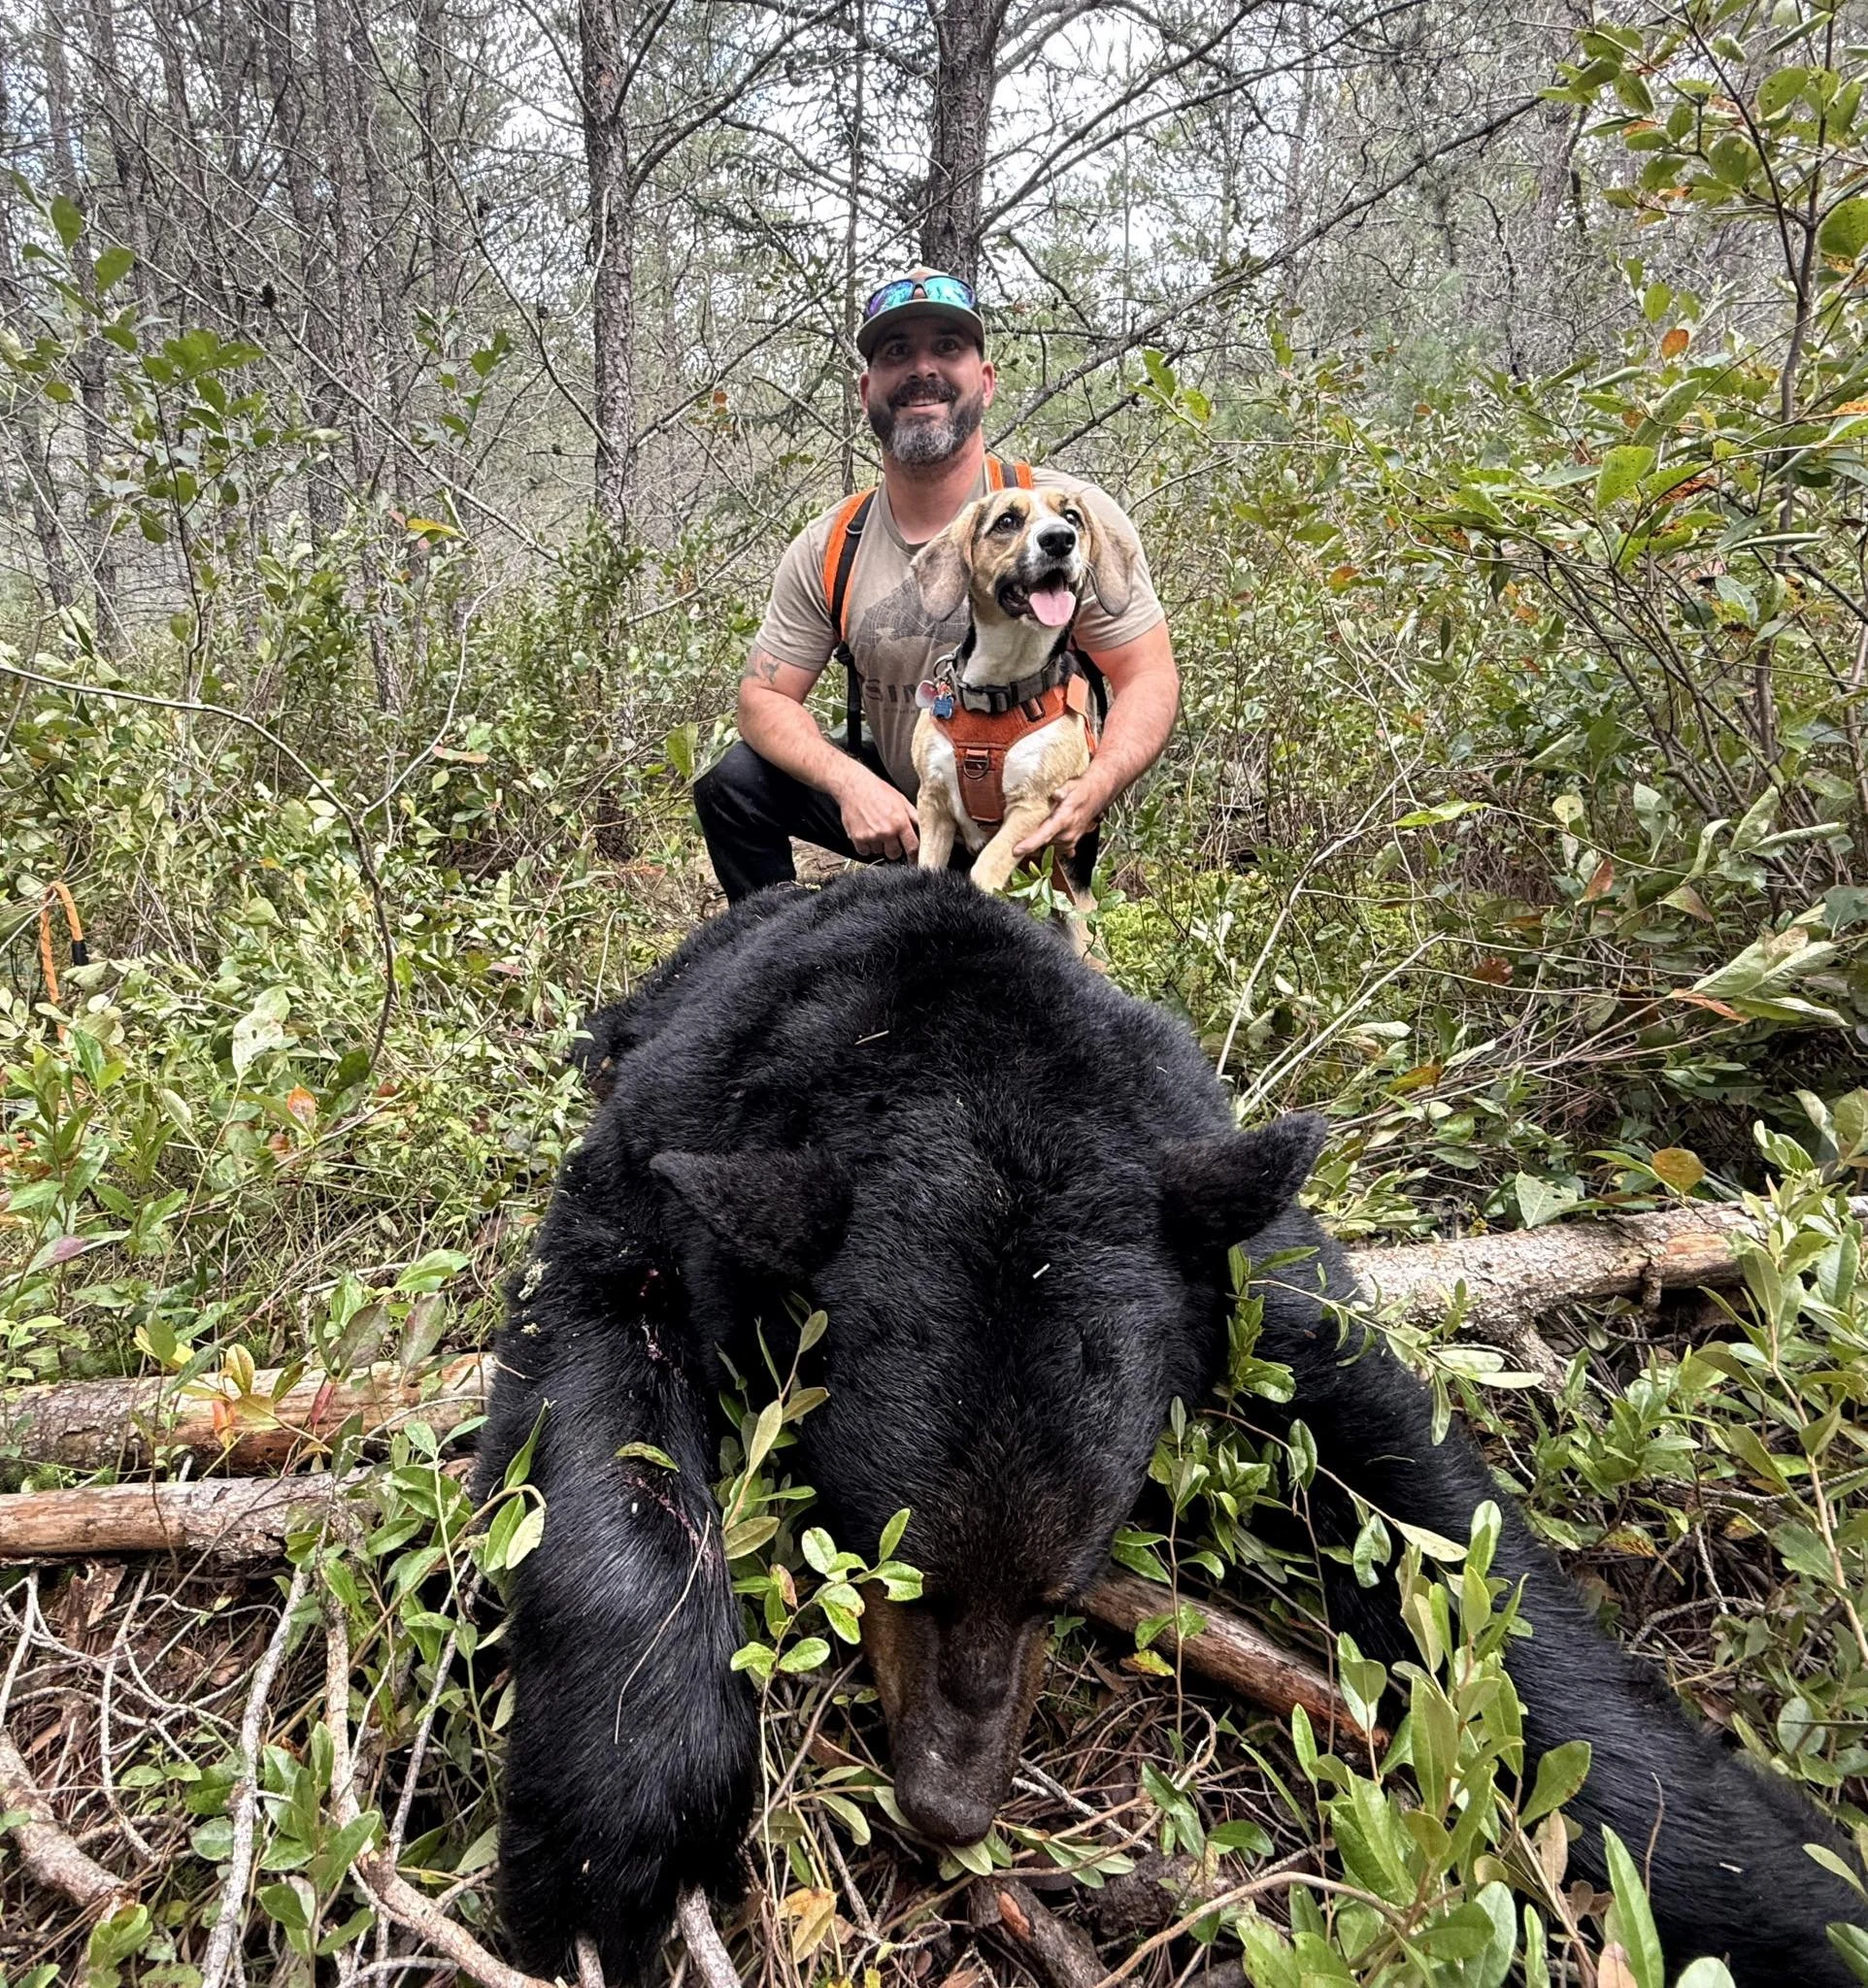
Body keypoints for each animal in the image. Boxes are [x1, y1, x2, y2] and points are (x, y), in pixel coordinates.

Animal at [475, 867, 1863, 1984]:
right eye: (892, 1567)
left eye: (1059, 1588)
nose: (947, 1807)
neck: (947, 1045)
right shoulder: (674, 1134)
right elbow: (598, 1356)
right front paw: (620, 1822)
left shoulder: (1223, 1234)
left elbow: (1428, 1507)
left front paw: (1764, 1878)